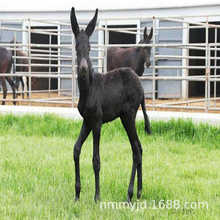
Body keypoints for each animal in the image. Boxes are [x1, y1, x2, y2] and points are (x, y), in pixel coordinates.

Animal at [70, 7, 150, 203]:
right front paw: (77, 195)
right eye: (76, 48)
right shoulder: (87, 121)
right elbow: (76, 150)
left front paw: (97, 197)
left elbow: (96, 159)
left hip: (128, 115)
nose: (83, 69)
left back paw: (129, 195)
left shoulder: (97, 122)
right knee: (139, 147)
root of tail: (140, 86)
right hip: (125, 117)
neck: (88, 88)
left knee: (136, 150)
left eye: (90, 48)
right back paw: (139, 191)